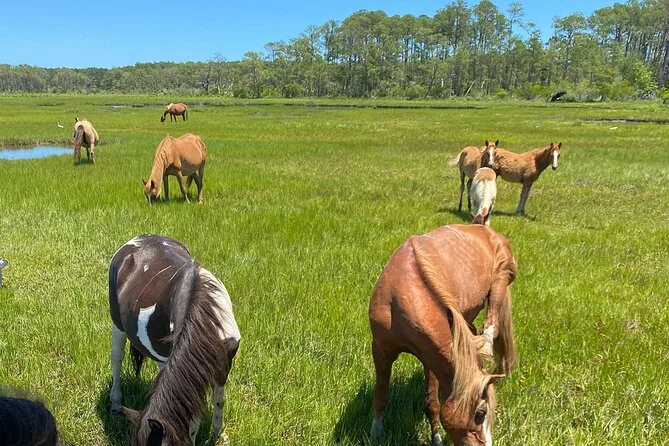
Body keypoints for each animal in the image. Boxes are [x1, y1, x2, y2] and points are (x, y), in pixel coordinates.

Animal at [109, 234, 241, 446]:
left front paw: (219, 434)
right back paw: (115, 403)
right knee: (117, 358)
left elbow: (218, 400)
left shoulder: (225, 360)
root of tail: (140, 238)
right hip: (117, 324)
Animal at [369, 224, 517, 446]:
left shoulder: (430, 358)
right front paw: (375, 433)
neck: (402, 297)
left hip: (502, 278)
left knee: (491, 327)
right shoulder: (380, 350)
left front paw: (436, 438)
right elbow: (380, 396)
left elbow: (432, 404)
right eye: (480, 413)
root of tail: (484, 228)